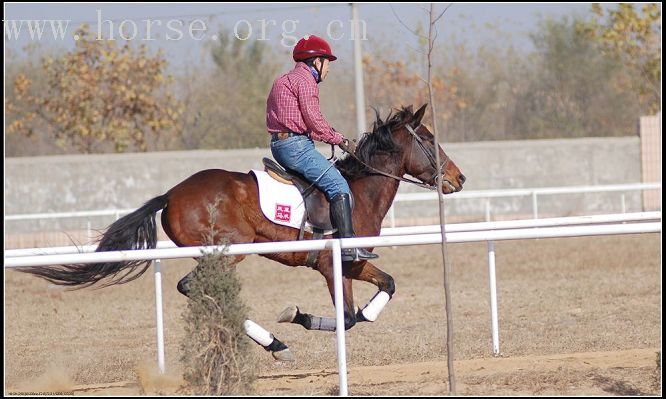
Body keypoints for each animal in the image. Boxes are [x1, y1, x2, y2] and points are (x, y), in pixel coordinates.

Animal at [22, 104, 466, 360]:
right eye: (428, 139)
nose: (459, 178)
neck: (357, 191)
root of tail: (171, 194)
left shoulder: (354, 265)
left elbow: (383, 289)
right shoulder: (332, 265)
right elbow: (347, 319)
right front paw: (297, 317)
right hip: (229, 251)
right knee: (191, 287)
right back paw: (276, 344)